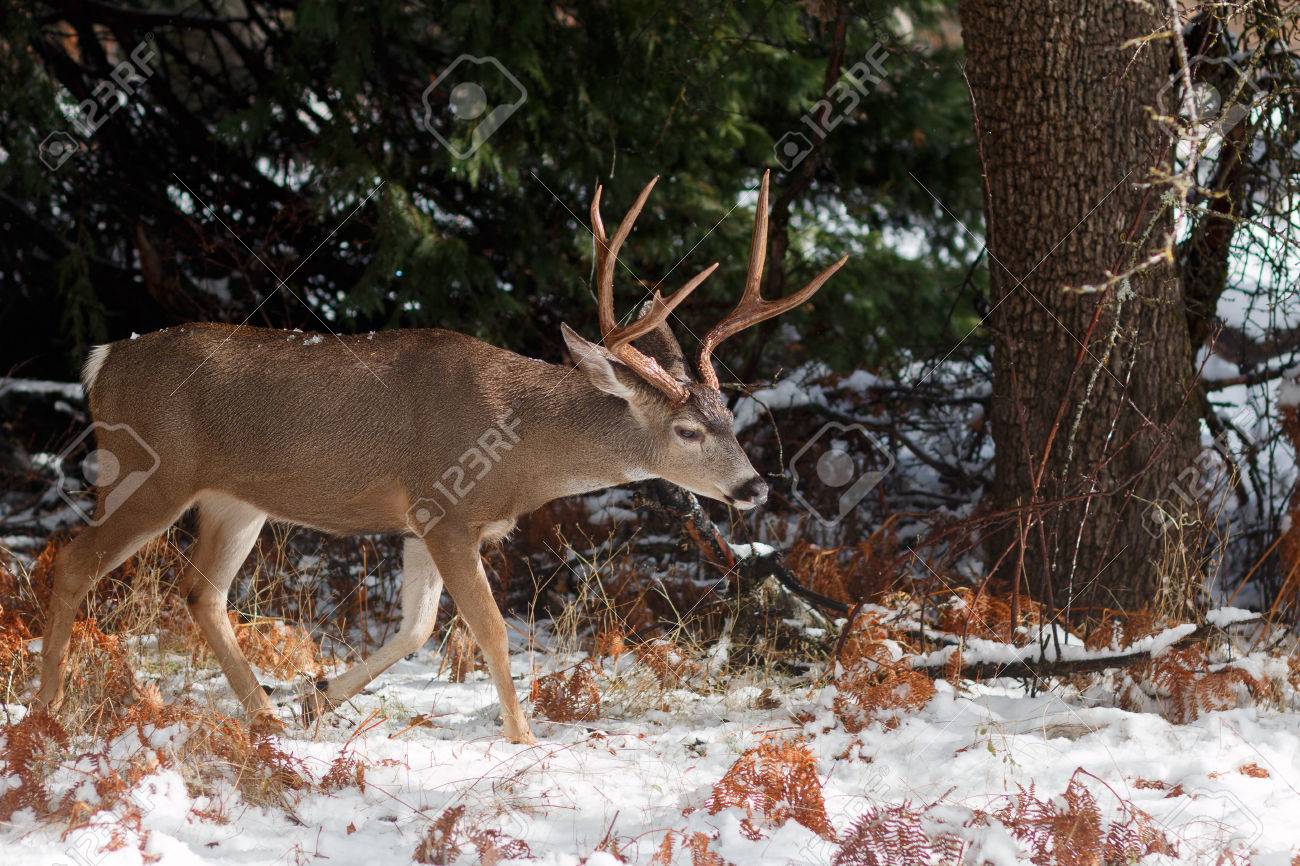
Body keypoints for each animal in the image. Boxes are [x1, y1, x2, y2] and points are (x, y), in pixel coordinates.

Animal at [35, 170, 847, 743]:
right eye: (686, 432)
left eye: (729, 416)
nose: (754, 488)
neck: (520, 449)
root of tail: (101, 363)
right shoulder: (448, 508)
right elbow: (489, 629)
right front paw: (523, 740)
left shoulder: (422, 518)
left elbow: (419, 626)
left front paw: (317, 697)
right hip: (149, 471)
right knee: (74, 564)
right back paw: (47, 713)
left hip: (235, 499)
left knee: (200, 592)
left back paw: (265, 714)